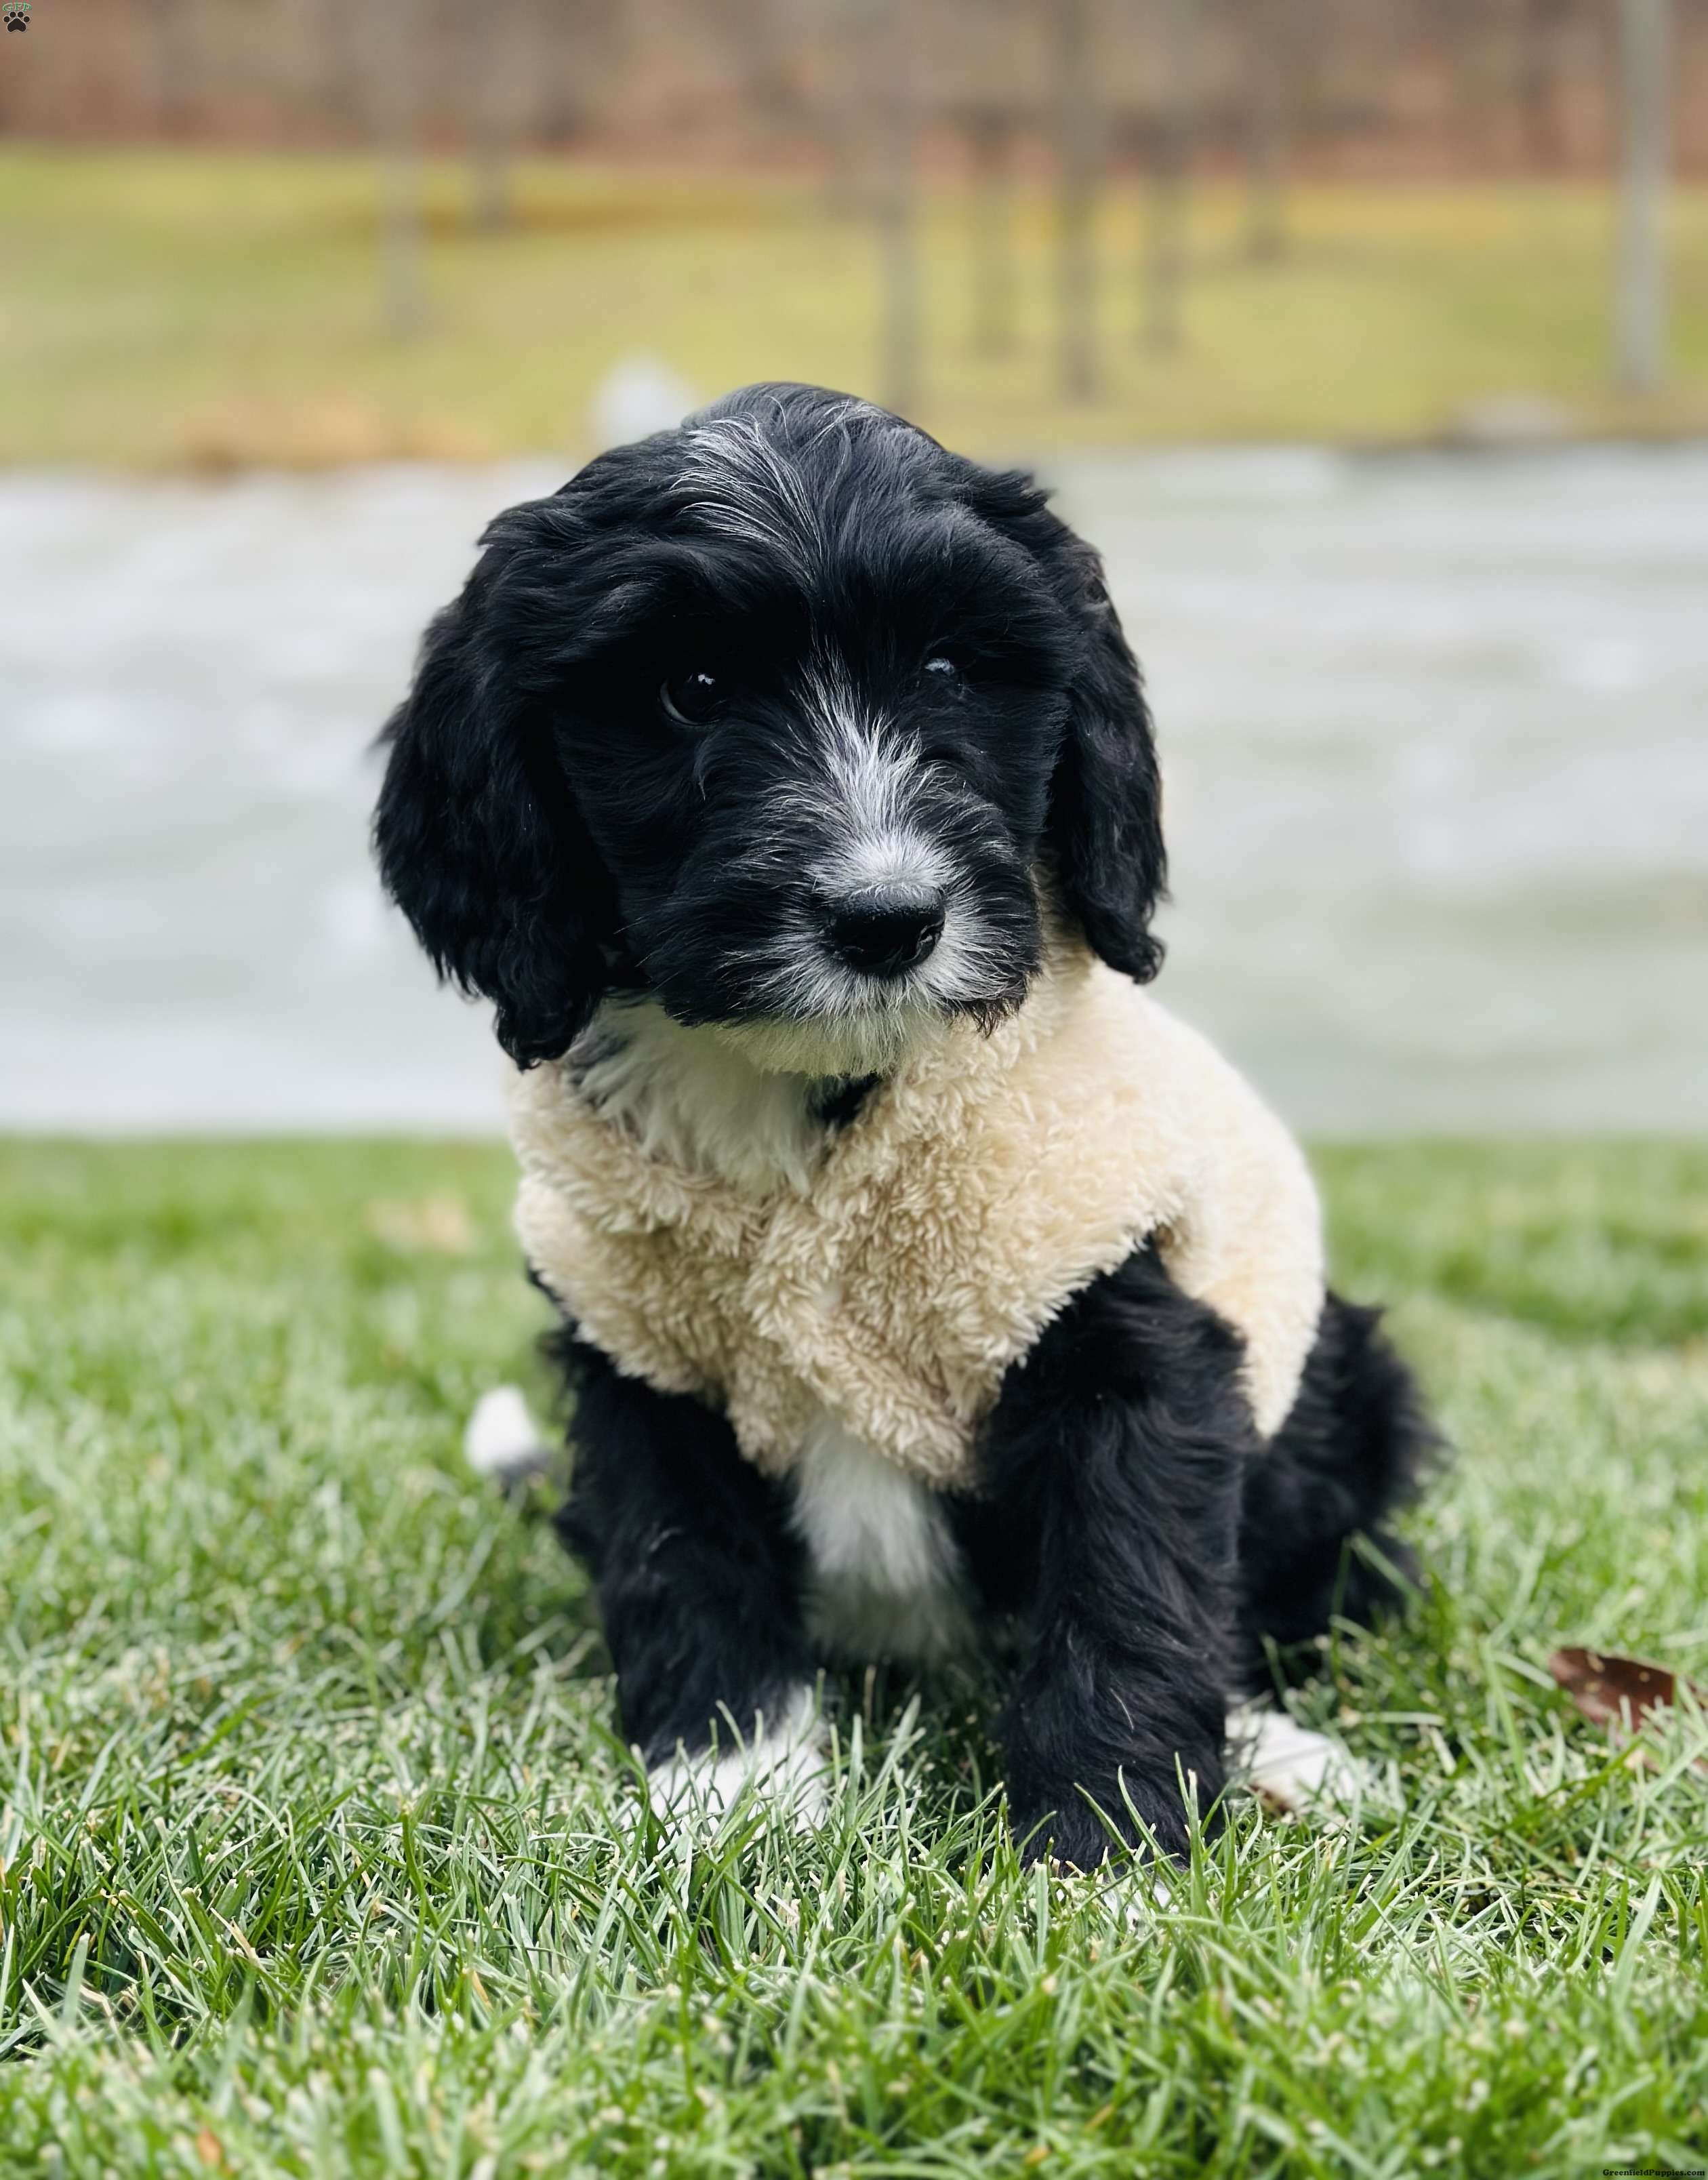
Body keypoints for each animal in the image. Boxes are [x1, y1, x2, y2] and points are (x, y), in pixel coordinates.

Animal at [374, 382, 1434, 1868]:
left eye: (949, 669)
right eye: (690, 689)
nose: (885, 919)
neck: (809, 1092)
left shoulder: (1115, 1314)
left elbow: (1131, 1582)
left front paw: (1104, 1856)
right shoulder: (641, 1348)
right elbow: (681, 1561)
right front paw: (734, 1799)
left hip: (1349, 1394)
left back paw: (1284, 1750)